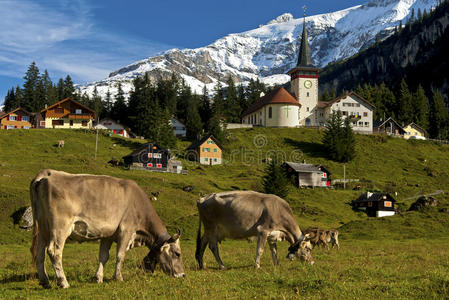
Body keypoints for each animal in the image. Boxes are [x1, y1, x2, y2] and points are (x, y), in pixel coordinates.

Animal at [30, 169, 184, 288]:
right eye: (177, 253)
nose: (182, 275)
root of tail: (48, 173)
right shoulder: (126, 230)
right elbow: (120, 255)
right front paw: (118, 278)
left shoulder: (108, 235)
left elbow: (104, 256)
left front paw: (98, 278)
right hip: (60, 228)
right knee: (54, 252)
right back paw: (63, 282)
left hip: (43, 227)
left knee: (40, 252)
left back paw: (45, 281)